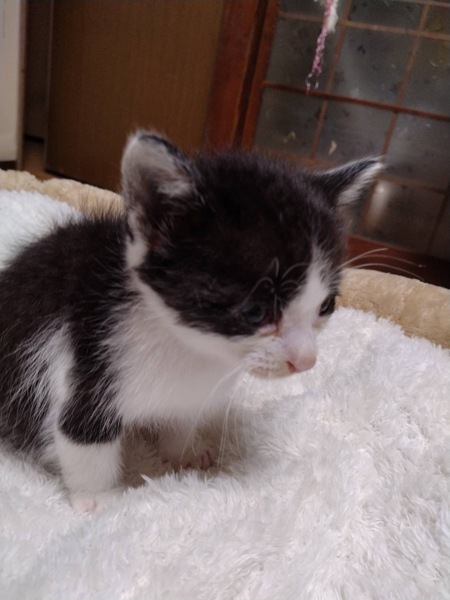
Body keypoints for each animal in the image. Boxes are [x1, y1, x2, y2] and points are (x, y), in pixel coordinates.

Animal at [0, 131, 381, 510]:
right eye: (256, 312)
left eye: (326, 306)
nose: (306, 361)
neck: (186, 345)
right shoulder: (91, 353)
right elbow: (82, 439)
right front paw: (99, 500)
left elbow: (181, 419)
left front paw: (184, 452)